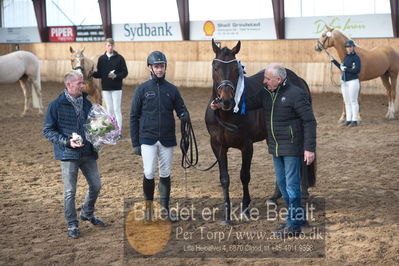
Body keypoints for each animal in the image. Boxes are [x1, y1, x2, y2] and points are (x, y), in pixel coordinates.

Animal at [206, 38, 316, 223]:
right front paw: (226, 215)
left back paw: (304, 192)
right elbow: (224, 178)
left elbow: (244, 175)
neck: (227, 115)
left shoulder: (247, 145)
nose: (226, 101)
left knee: (301, 157)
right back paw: (275, 196)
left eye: (236, 69)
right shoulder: (217, 146)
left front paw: (245, 209)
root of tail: (299, 79)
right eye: (215, 67)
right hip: (271, 136)